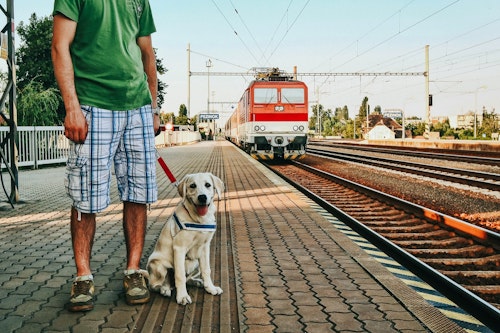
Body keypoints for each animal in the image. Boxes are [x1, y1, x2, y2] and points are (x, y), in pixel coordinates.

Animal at [147, 172, 224, 304]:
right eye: (192, 185)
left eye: (208, 185)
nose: (202, 197)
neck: (198, 219)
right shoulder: (179, 248)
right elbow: (180, 275)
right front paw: (182, 296)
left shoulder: (205, 247)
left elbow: (206, 270)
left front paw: (210, 288)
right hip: (158, 265)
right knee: (156, 284)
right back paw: (164, 289)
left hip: (196, 263)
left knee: (188, 278)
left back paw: (197, 282)